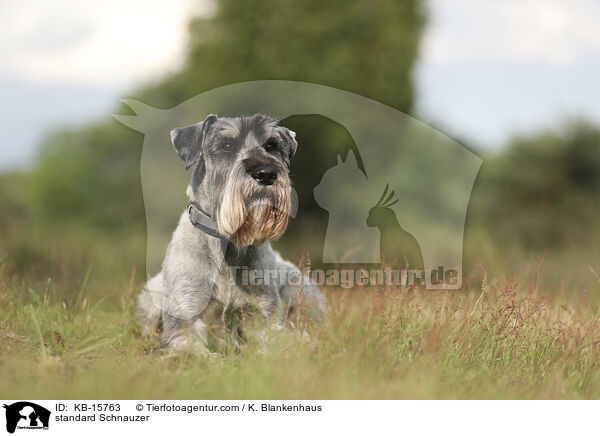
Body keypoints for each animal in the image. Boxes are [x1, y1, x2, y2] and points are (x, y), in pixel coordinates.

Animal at [138, 113, 326, 354]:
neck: (227, 243)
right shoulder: (184, 319)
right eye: (227, 146)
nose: (266, 174)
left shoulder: (264, 316)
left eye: (271, 146)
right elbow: (188, 347)